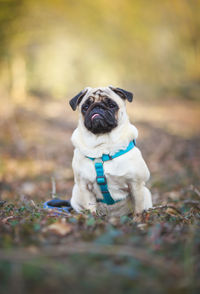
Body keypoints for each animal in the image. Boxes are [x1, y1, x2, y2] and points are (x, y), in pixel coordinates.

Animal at [69, 85, 152, 216]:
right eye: (85, 107)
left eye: (112, 105)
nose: (97, 107)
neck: (103, 147)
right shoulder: (84, 186)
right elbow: (90, 208)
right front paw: (91, 218)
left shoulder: (136, 185)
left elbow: (138, 209)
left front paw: (137, 219)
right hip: (76, 193)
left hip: (146, 193)